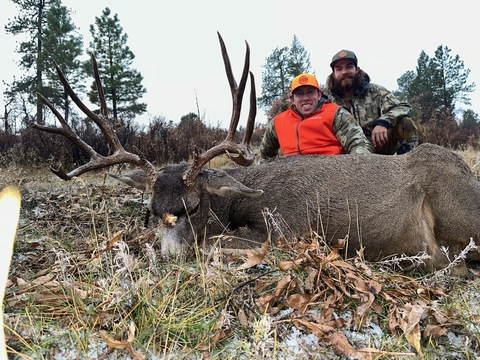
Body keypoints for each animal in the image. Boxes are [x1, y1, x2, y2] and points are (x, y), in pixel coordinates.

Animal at [33, 33, 480, 276]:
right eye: (150, 210)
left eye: (193, 206)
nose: (170, 256)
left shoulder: (286, 232)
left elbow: (214, 244)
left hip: (459, 209)